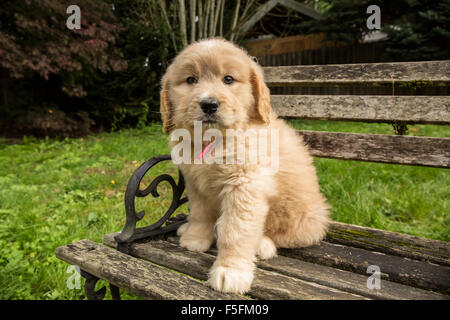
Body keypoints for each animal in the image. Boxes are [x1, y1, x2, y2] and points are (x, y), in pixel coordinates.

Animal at [160, 38, 328, 294]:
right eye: (191, 80)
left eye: (228, 79)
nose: (209, 104)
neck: (214, 140)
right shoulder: (195, 184)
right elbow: (199, 213)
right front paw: (195, 239)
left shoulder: (245, 185)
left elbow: (235, 230)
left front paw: (231, 271)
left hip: (303, 218)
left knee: (282, 235)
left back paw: (263, 245)